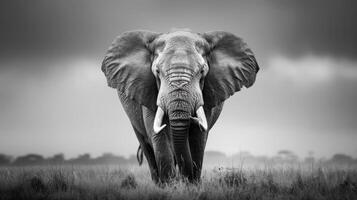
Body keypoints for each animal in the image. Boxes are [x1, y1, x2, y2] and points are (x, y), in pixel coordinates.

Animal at [100, 29, 258, 183]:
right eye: (157, 71)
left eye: (202, 71)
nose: (185, 179)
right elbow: (159, 136)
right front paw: (169, 186)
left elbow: (197, 139)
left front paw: (191, 185)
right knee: (147, 148)